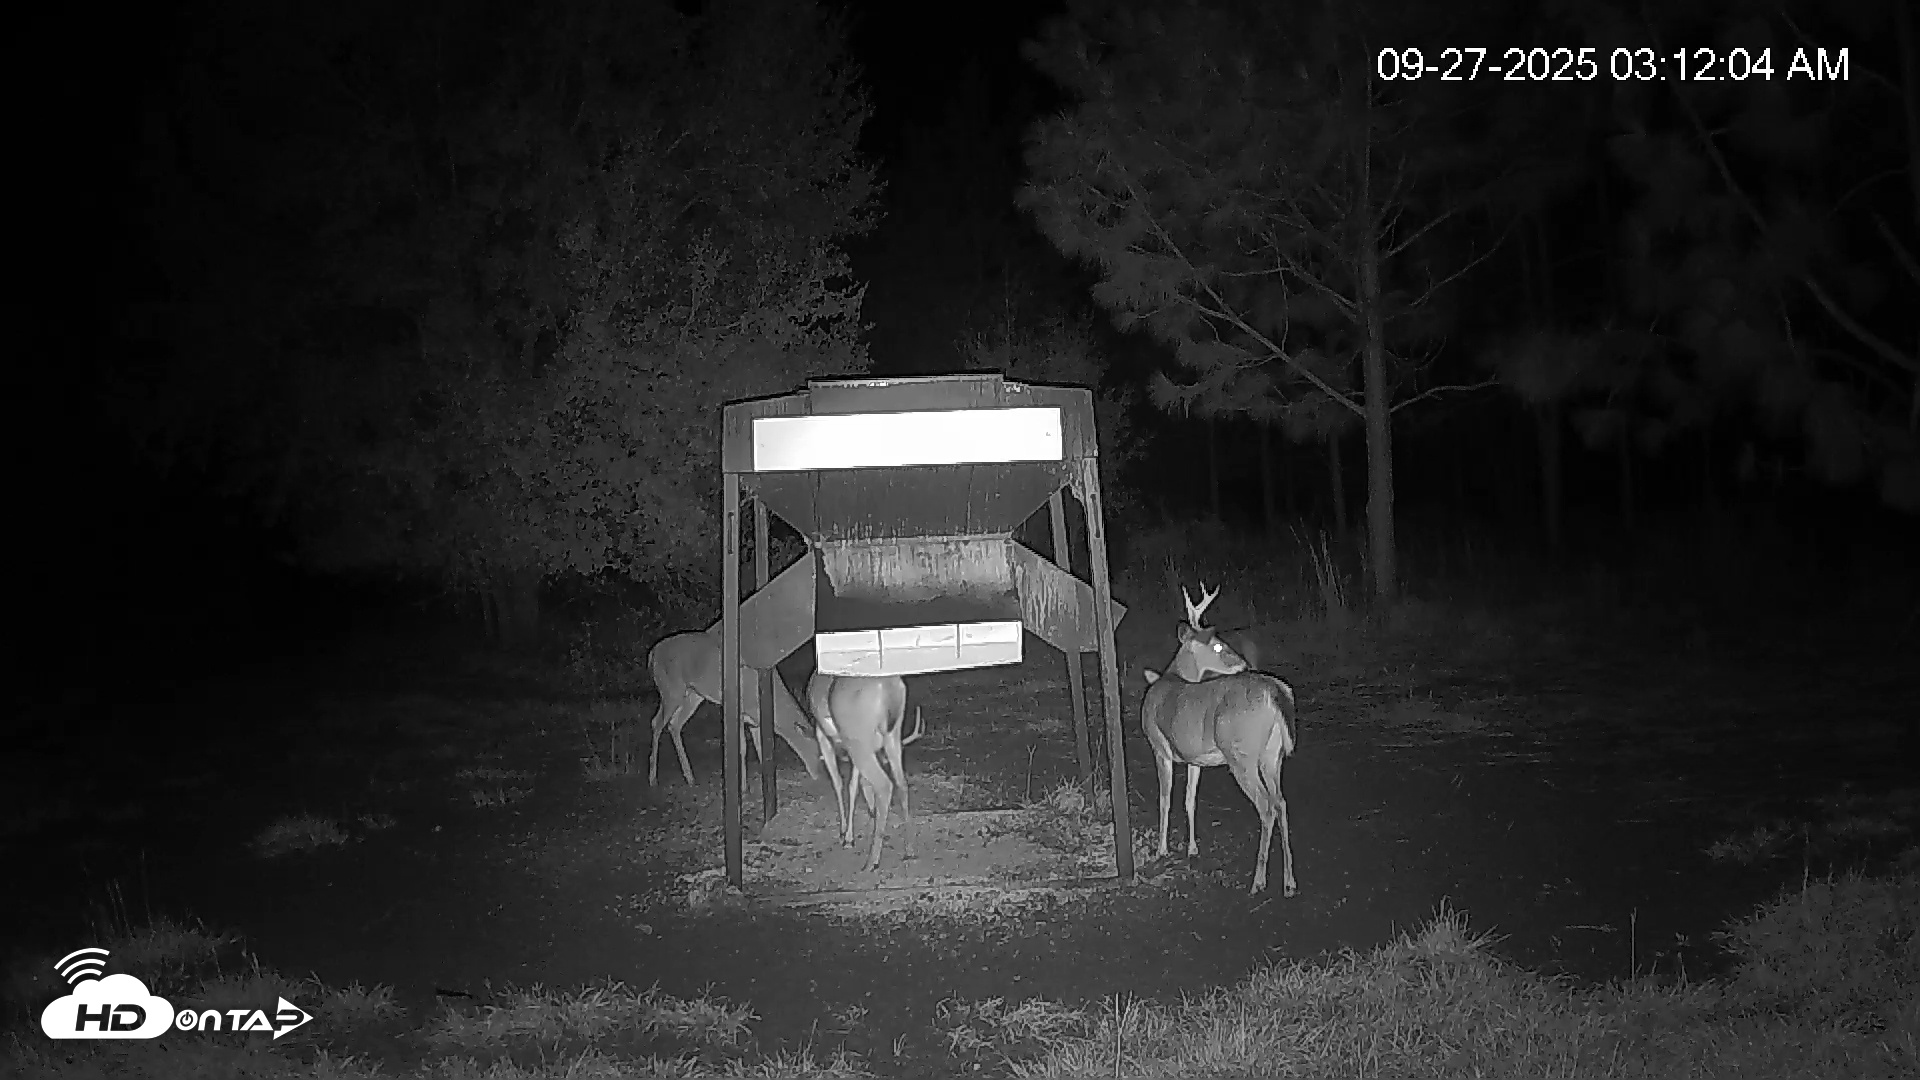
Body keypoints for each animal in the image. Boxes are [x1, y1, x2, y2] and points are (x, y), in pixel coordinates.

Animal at [644, 628, 824, 787]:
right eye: (819, 754)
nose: (819, 776)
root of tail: (652, 653)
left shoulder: (756, 719)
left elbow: (762, 748)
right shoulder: (740, 711)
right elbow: (742, 748)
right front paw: (743, 787)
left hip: (694, 695)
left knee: (674, 724)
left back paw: (690, 777)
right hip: (670, 690)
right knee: (656, 723)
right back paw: (653, 779)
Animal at [805, 671, 923, 873]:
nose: (871, 810)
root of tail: (887, 686)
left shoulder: (822, 734)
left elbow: (838, 782)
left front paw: (844, 834)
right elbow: (855, 784)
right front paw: (850, 835)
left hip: (858, 740)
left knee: (884, 784)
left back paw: (871, 862)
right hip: (890, 737)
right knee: (901, 783)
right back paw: (909, 850)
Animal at [1140, 583, 1297, 896]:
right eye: (1217, 645)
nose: (1244, 663)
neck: (1170, 678)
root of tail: (1274, 692)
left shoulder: (1159, 746)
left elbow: (1165, 799)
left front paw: (1161, 850)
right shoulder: (1193, 758)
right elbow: (1189, 799)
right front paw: (1192, 849)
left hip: (1241, 754)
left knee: (1266, 807)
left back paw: (1258, 881)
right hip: (1271, 755)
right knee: (1282, 803)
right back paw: (1289, 882)